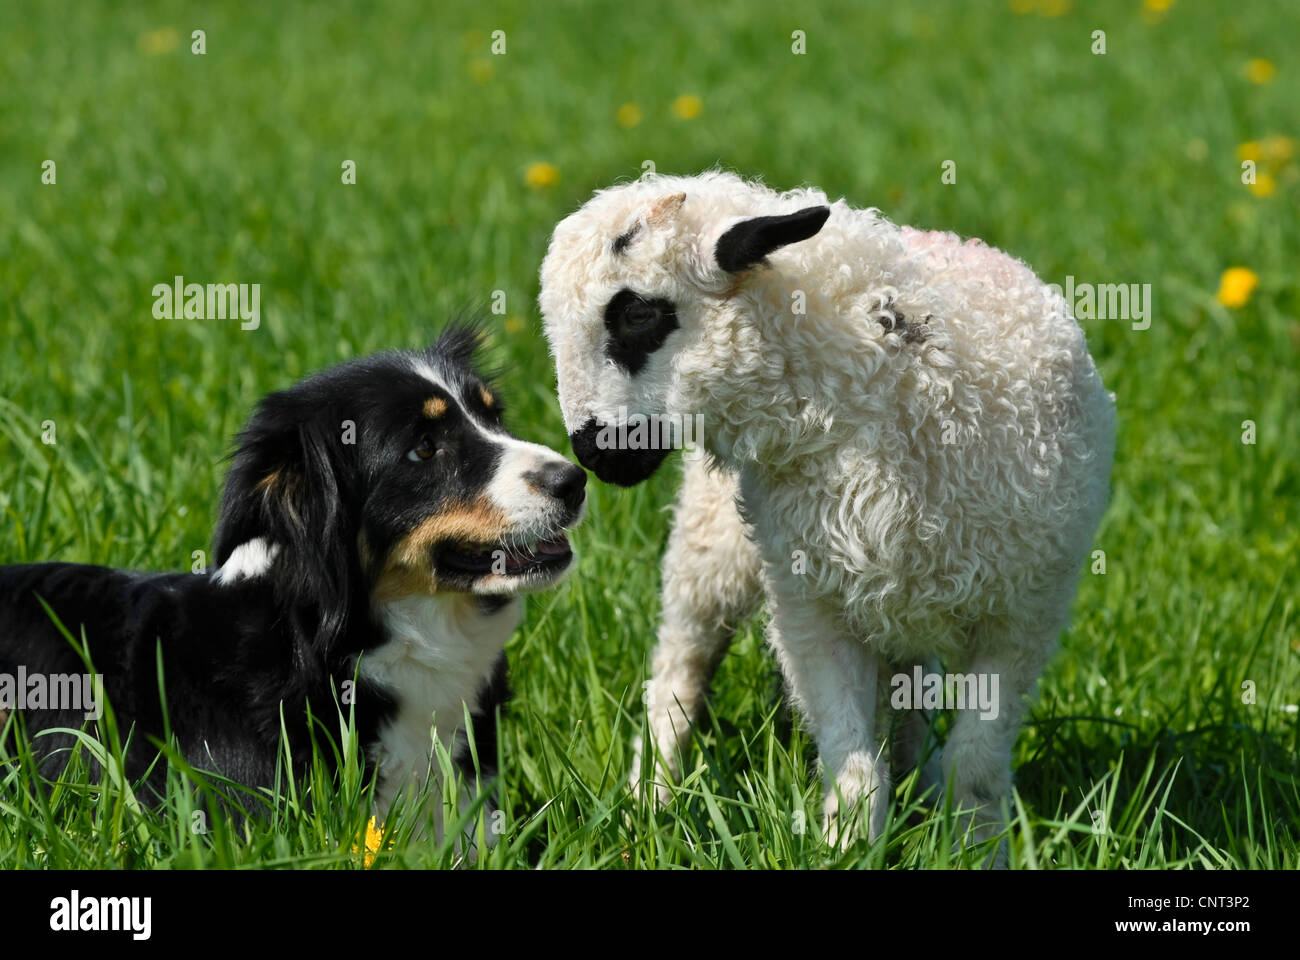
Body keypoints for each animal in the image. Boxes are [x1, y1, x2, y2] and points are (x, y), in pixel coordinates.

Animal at [538, 171, 1118, 858]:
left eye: (637, 314)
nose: (590, 454)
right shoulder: (810, 608)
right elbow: (853, 764)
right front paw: (848, 849)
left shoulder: (1025, 613)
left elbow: (974, 767)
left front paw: (975, 851)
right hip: (714, 547)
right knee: (680, 670)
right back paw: (647, 802)